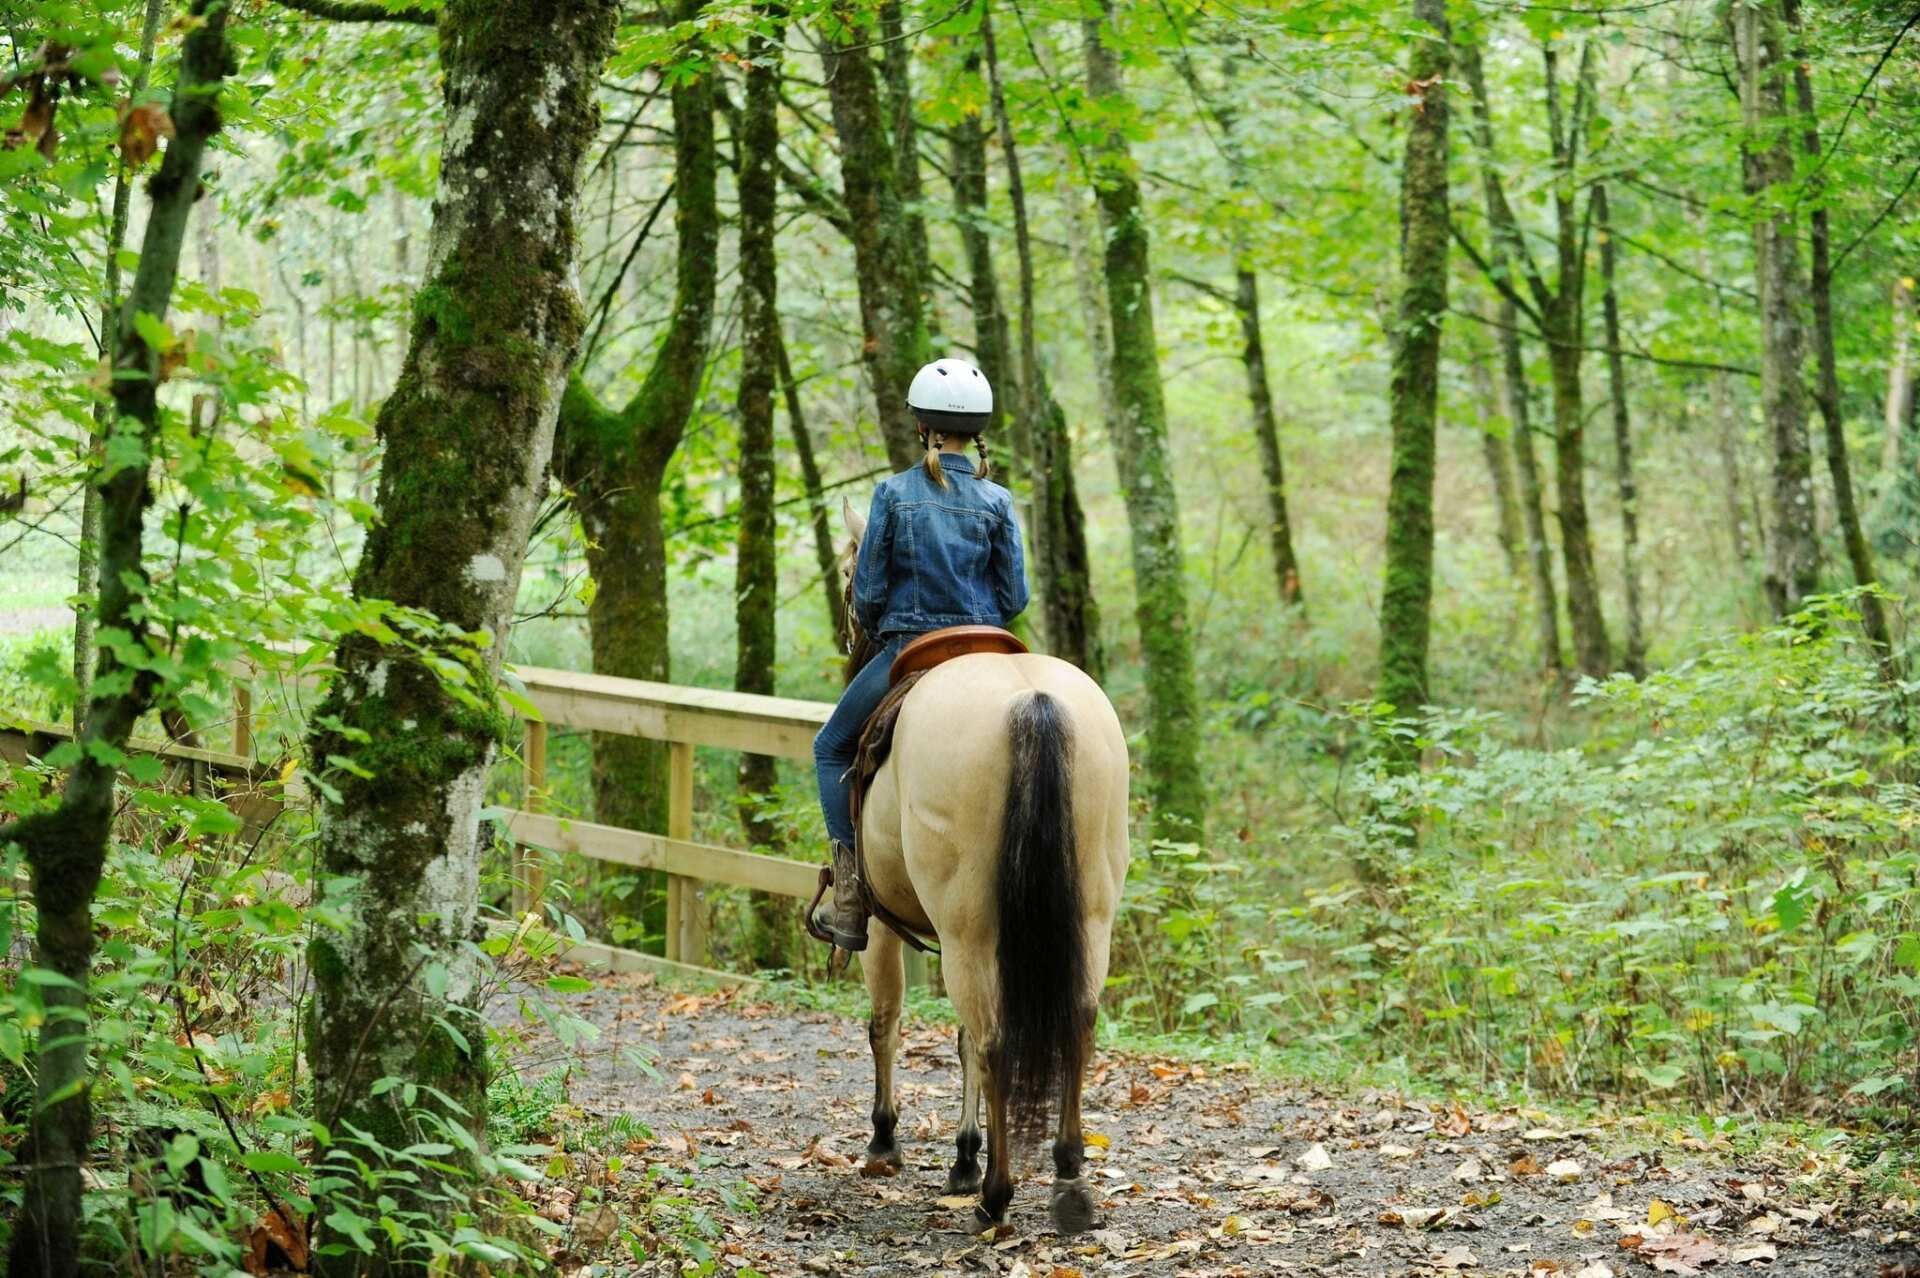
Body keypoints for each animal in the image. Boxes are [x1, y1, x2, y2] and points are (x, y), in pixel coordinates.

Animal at [832, 497, 1131, 1233]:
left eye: (849, 570)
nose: (849, 638)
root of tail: (1033, 702)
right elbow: (961, 1039)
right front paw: (962, 1156)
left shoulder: (883, 923)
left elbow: (887, 1022)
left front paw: (887, 1142)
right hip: (1085, 918)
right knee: (1076, 1026)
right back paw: (1068, 1181)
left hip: (968, 928)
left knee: (994, 1037)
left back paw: (997, 1195)